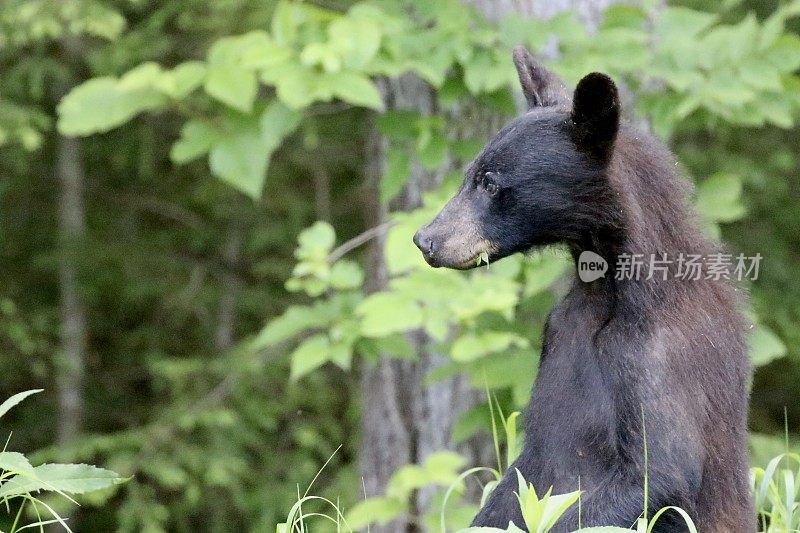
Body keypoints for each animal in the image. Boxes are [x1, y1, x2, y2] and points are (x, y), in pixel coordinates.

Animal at [412, 46, 756, 532]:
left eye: (491, 183)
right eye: (470, 174)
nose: (426, 239)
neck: (607, 292)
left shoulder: (659, 353)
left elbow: (660, 469)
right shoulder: (559, 335)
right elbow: (525, 475)